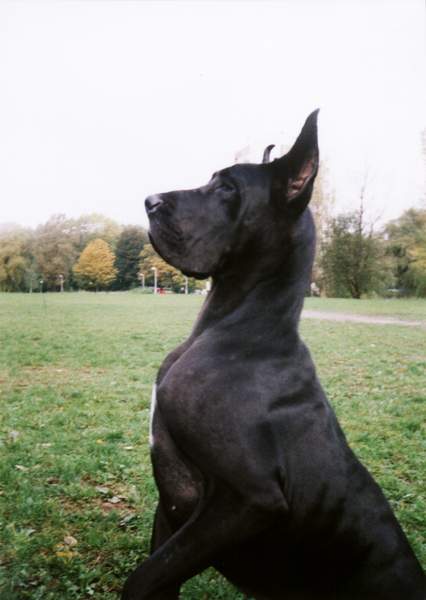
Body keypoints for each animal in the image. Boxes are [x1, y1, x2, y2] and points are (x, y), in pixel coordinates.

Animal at [122, 111, 425, 599]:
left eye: (228, 188)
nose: (149, 201)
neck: (236, 327)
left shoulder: (249, 499)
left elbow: (142, 578)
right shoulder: (170, 511)